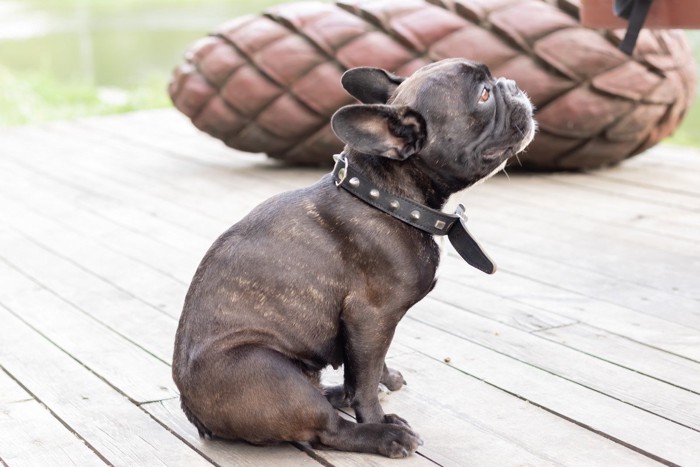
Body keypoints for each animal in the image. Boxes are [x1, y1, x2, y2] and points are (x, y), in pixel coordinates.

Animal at [172, 57, 532, 458]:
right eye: (484, 95)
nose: (512, 85)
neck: (385, 197)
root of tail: (192, 410)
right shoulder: (371, 316)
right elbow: (365, 380)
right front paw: (378, 418)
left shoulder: (368, 329)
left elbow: (367, 368)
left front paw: (384, 380)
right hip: (268, 370)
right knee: (327, 430)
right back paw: (383, 434)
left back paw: (335, 393)